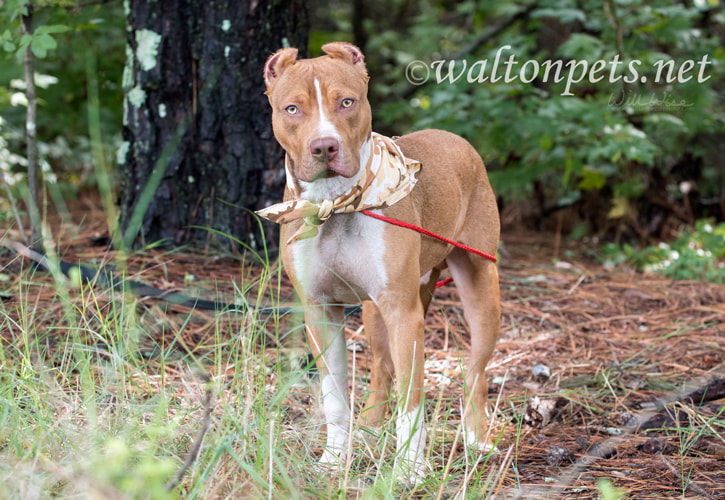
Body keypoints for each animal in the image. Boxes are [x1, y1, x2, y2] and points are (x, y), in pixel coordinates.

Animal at [255, 43, 498, 480]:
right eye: (292, 109)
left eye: (347, 102)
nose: (324, 147)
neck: (336, 204)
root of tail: (455, 138)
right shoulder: (320, 310)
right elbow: (334, 396)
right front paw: (334, 459)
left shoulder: (404, 312)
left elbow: (412, 398)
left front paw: (410, 469)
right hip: (375, 311)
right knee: (382, 369)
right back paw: (369, 428)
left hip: (480, 285)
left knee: (475, 373)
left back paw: (477, 438)